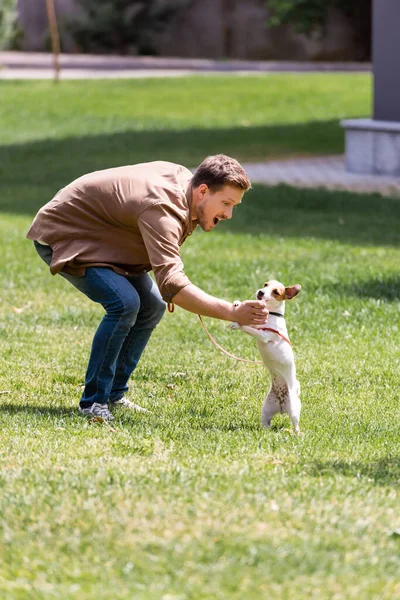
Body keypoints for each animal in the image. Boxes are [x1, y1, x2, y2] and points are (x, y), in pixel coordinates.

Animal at [230, 278, 302, 434]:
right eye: (265, 284)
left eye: (276, 292)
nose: (261, 292)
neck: (271, 314)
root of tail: (282, 407)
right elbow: (251, 325)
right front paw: (238, 303)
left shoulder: (264, 335)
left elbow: (249, 329)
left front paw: (237, 324)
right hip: (267, 408)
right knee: (266, 423)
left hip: (294, 410)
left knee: (296, 426)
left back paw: (297, 434)